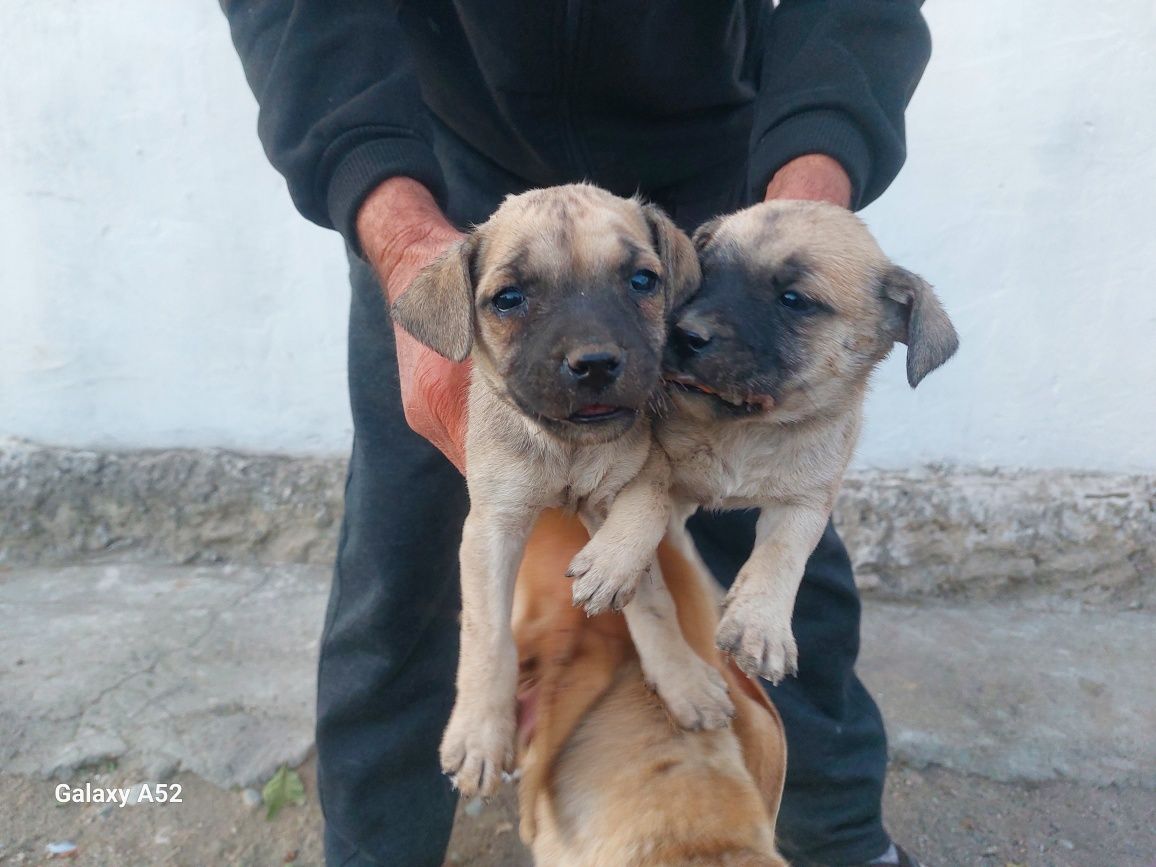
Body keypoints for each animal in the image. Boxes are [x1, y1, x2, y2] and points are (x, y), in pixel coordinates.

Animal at [388, 183, 730, 799]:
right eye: (508, 299)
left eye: (642, 280)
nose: (594, 364)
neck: (568, 447)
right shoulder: (493, 525)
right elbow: (487, 632)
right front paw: (479, 733)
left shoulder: (629, 482)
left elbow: (652, 594)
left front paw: (681, 680)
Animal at [566, 202, 957, 684]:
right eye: (704, 274)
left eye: (794, 301)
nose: (680, 333)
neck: (747, 429)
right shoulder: (650, 453)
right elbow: (648, 500)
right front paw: (613, 561)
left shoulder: (807, 501)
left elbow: (782, 552)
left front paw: (760, 625)